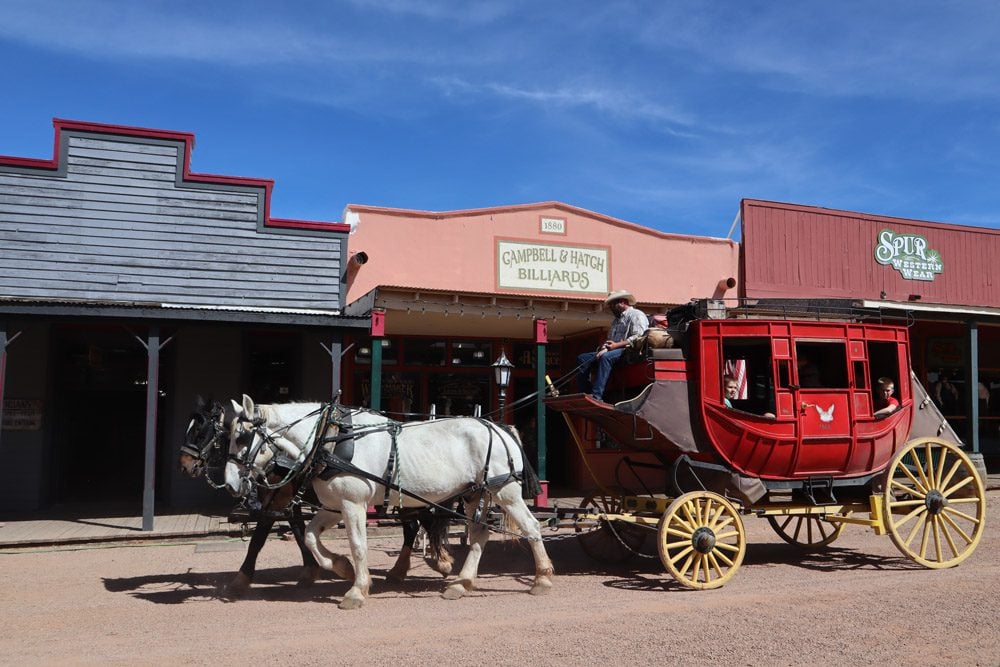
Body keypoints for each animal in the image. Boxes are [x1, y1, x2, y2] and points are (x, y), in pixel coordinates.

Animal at [179, 400, 454, 596]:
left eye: (201, 432)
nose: (185, 464)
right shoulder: (289, 502)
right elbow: (302, 533)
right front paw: (314, 569)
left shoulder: (277, 500)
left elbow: (259, 539)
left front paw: (241, 579)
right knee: (415, 526)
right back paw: (406, 569)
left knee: (420, 525)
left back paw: (440, 562)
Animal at [224, 396, 556, 612]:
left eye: (241, 437)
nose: (228, 484)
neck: (331, 437)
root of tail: (502, 429)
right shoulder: (333, 506)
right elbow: (310, 537)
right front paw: (342, 568)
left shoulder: (353, 503)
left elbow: (358, 545)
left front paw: (357, 590)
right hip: (475, 494)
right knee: (478, 536)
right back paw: (461, 583)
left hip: (505, 492)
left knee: (531, 527)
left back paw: (541, 578)